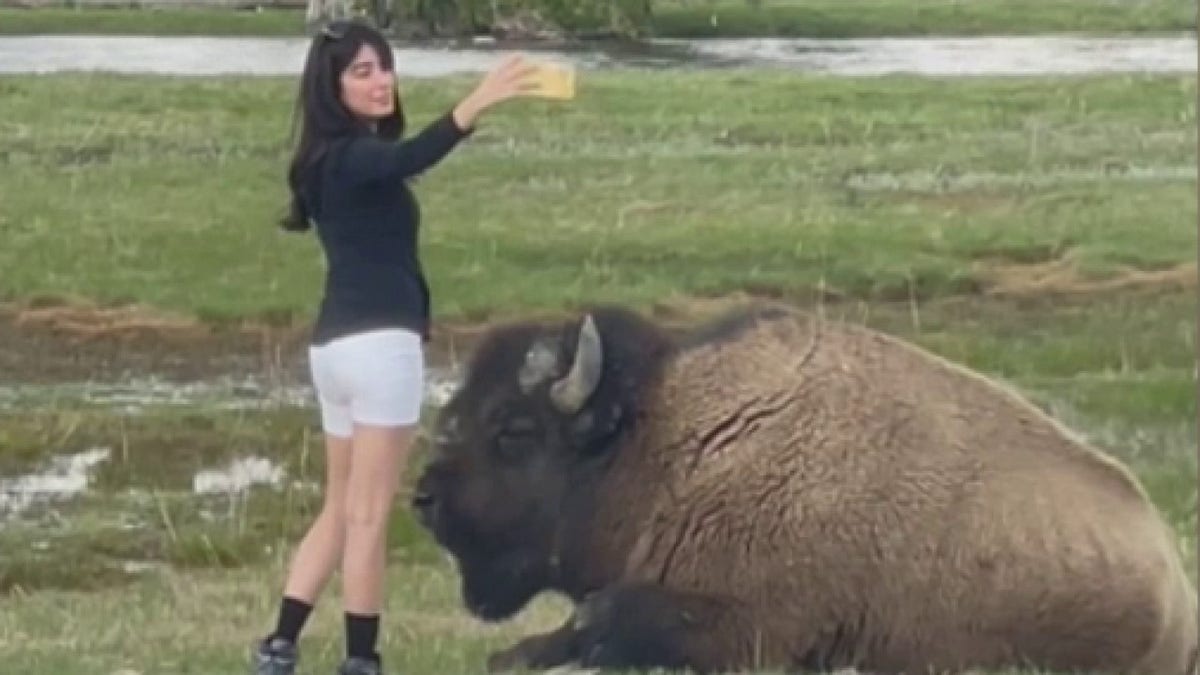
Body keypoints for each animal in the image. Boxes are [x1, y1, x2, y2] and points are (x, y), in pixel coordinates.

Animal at [410, 302, 1190, 667]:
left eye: (514, 430)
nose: (424, 499)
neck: (667, 442)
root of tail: (1176, 584)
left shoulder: (755, 628)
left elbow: (601, 617)